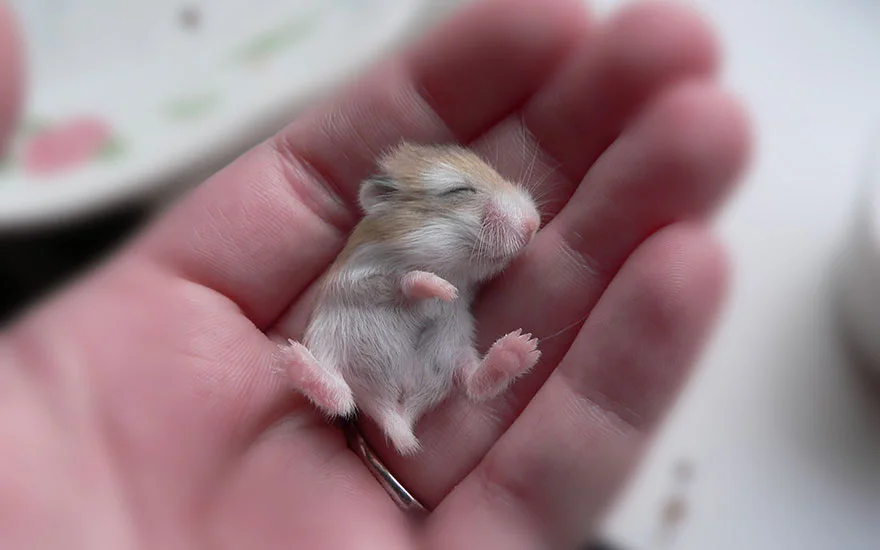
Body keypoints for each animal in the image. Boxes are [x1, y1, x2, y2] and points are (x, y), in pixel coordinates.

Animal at [279, 141, 542, 455]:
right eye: (459, 190)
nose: (534, 224)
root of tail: (397, 414)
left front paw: (449, 294)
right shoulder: (358, 279)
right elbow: (406, 280)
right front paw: (445, 290)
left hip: (452, 351)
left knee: (473, 383)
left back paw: (521, 347)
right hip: (325, 343)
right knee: (341, 397)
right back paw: (292, 358)